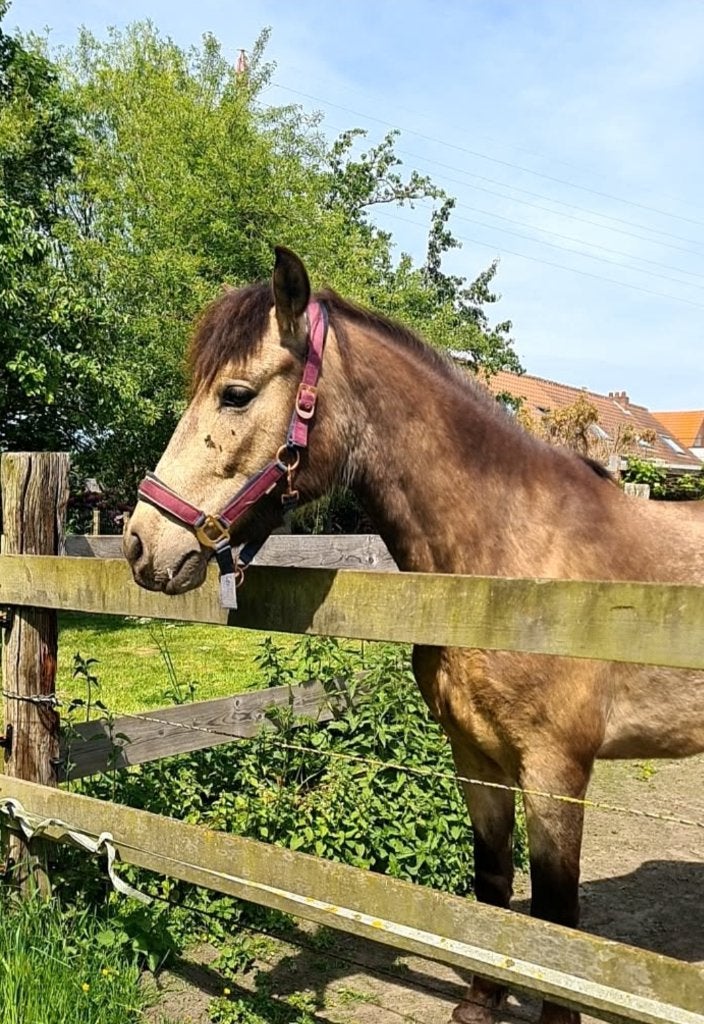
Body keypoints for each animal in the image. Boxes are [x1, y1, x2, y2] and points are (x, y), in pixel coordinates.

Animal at [124, 247, 704, 1024]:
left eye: (236, 395)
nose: (140, 543)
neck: (508, 565)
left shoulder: (557, 770)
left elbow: (558, 920)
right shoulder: (474, 755)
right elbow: (492, 881)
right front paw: (480, 1001)